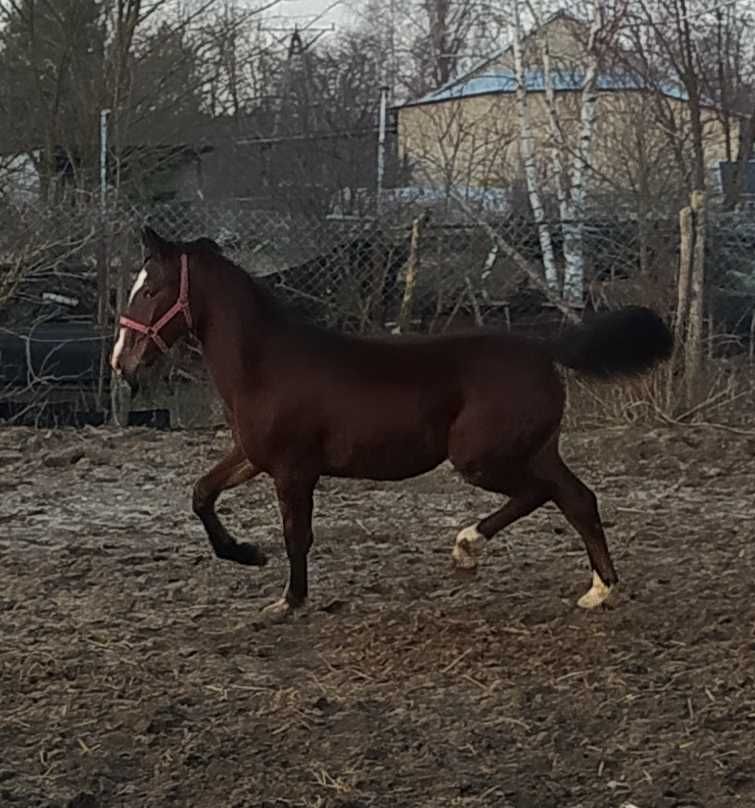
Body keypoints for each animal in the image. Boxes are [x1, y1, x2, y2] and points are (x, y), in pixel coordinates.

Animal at [110, 227, 672, 620]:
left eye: (151, 290)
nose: (122, 363)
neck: (265, 365)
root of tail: (544, 349)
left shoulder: (293, 470)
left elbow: (297, 534)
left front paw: (289, 602)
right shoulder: (253, 456)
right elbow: (202, 493)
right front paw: (247, 555)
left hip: (483, 458)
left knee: (549, 494)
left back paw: (473, 547)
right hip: (531, 449)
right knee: (576, 499)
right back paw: (597, 590)